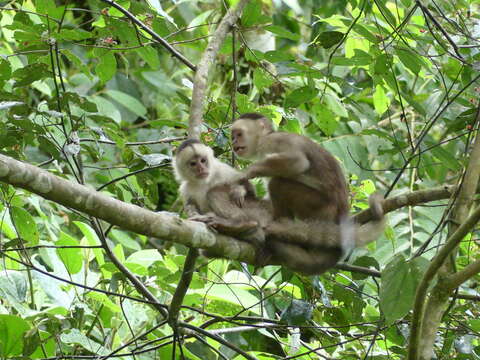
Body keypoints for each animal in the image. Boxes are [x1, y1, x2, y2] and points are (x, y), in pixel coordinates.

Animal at [172, 139, 382, 274]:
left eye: (203, 160)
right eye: (193, 163)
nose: (201, 168)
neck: (203, 180)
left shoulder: (222, 170)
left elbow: (245, 187)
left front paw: (239, 191)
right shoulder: (185, 188)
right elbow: (190, 205)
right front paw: (193, 214)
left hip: (262, 211)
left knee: (216, 192)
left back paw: (242, 224)